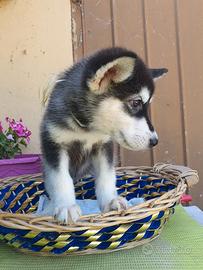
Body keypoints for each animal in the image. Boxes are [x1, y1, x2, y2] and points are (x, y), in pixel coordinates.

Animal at [40, 47, 168, 224]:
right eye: (135, 103)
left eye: (147, 105)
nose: (155, 141)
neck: (86, 129)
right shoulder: (54, 144)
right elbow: (61, 179)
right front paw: (66, 206)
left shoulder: (104, 146)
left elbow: (106, 177)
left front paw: (110, 201)